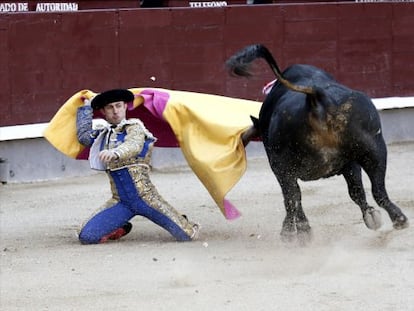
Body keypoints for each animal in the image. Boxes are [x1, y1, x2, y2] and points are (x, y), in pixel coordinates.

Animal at [226, 44, 408, 244]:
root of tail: (315, 96)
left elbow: (292, 198)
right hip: (374, 148)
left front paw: (291, 231)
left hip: (282, 166)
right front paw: (370, 216)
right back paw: (398, 219)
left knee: (293, 197)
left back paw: (299, 231)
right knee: (378, 189)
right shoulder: (350, 164)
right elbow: (356, 191)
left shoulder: (282, 168)